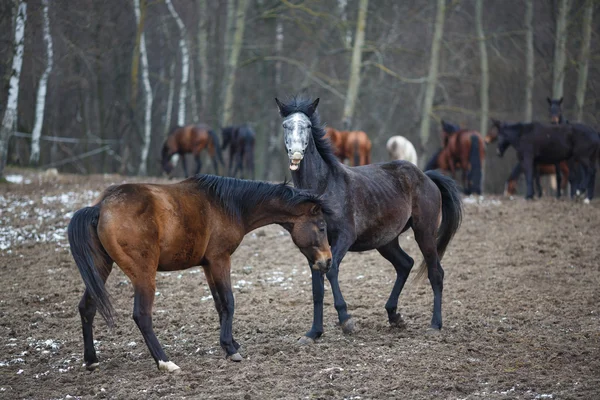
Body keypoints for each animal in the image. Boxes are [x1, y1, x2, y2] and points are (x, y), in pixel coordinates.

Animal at [69, 174, 338, 372]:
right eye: (321, 227)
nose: (327, 261)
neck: (228, 205)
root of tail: (100, 207)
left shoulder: (208, 264)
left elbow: (220, 305)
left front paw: (230, 343)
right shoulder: (220, 259)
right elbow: (229, 302)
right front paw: (231, 349)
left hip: (101, 268)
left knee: (87, 308)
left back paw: (91, 360)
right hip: (144, 275)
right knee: (142, 316)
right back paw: (165, 362)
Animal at [276, 97, 464, 344]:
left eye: (307, 126)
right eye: (285, 125)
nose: (296, 153)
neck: (324, 187)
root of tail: (427, 177)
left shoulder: (344, 237)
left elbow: (332, 271)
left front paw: (346, 321)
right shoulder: (313, 248)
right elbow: (317, 285)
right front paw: (313, 333)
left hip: (424, 232)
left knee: (435, 272)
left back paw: (434, 324)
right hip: (386, 241)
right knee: (405, 264)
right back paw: (394, 316)